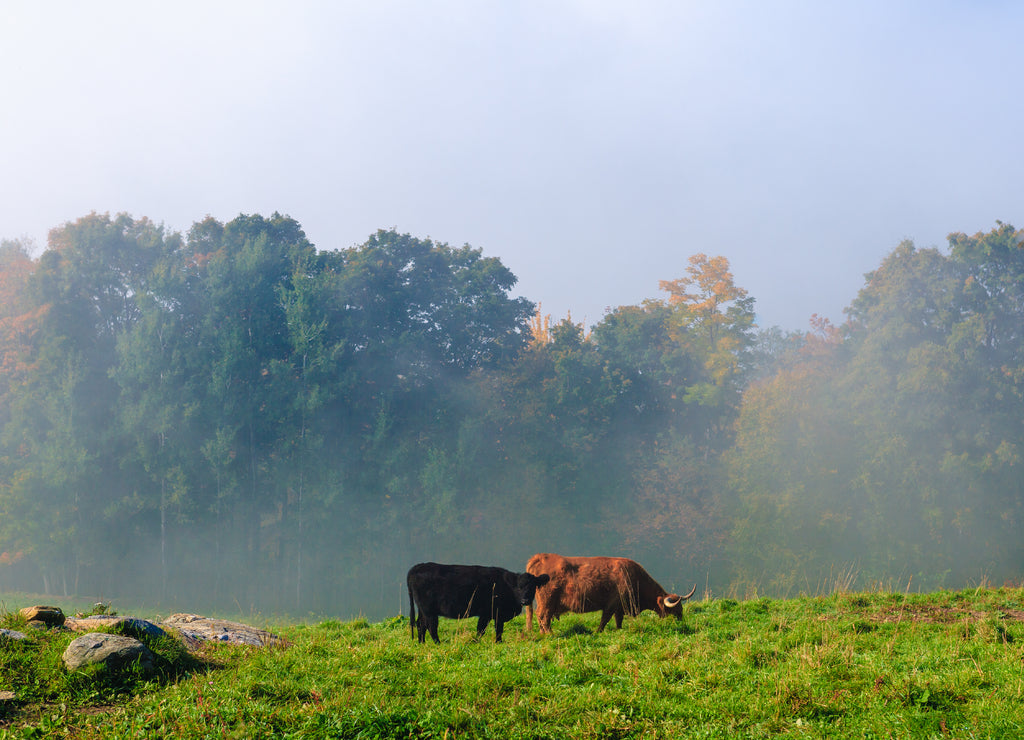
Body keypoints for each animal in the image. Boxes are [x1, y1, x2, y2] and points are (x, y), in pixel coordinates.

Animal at [406, 562, 550, 644]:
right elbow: (486, 629)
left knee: (420, 624)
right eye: (518, 587)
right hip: (429, 610)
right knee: (431, 626)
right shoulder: (490, 612)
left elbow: (491, 629)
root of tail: (417, 567)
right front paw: (490, 642)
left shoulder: (493, 614)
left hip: (422, 609)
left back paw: (422, 643)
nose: (525, 600)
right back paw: (437, 643)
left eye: (533, 587)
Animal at [524, 553, 697, 633]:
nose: (681, 620)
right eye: (674, 609)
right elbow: (605, 619)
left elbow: (617, 620)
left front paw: (618, 630)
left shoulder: (619, 607)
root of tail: (540, 557)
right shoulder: (612, 604)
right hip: (547, 600)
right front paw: (597, 631)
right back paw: (549, 633)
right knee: (543, 616)